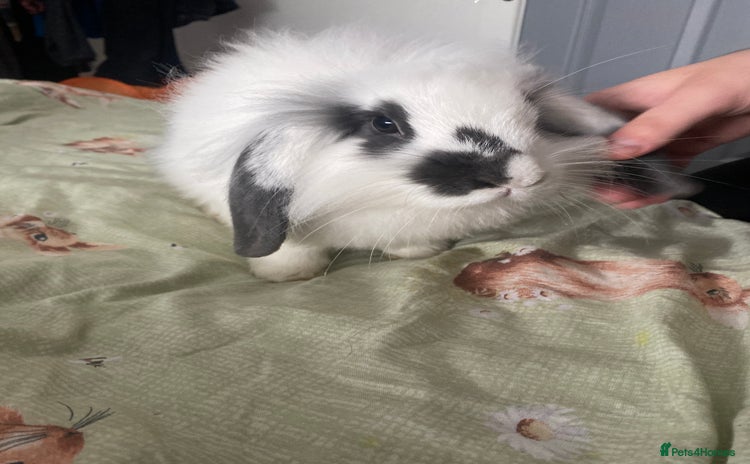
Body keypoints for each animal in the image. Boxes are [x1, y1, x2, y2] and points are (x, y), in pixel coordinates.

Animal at [151, 28, 695, 282]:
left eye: (534, 117)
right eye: (384, 125)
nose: (520, 174)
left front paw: (422, 252)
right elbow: (293, 250)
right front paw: (286, 275)